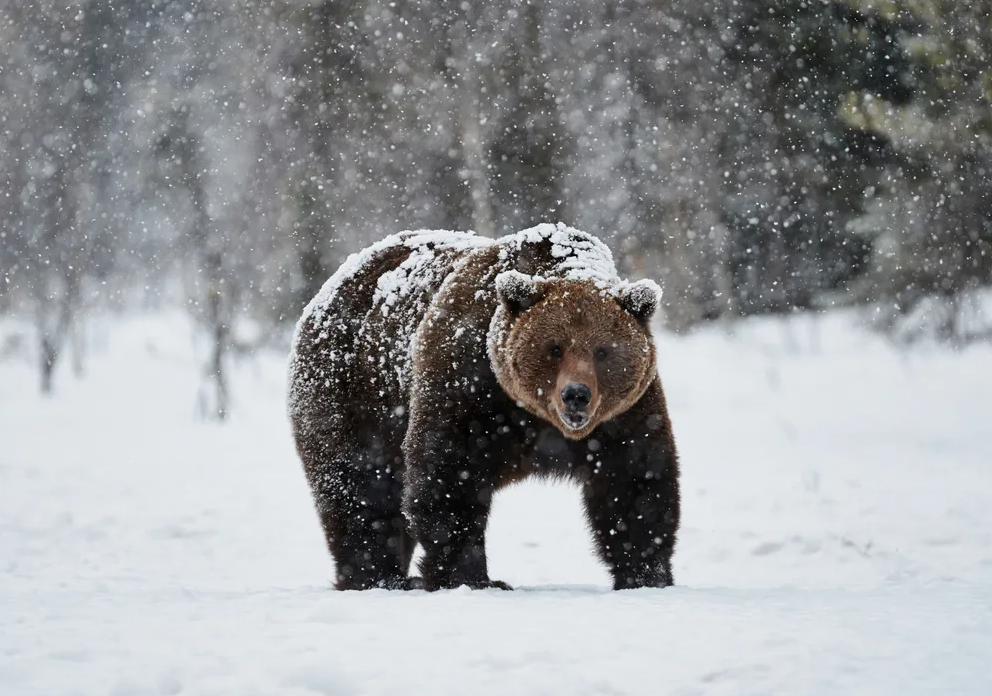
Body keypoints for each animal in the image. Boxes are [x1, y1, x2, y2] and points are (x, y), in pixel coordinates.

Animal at [282, 224, 680, 592]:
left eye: (602, 351)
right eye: (554, 348)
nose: (576, 394)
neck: (536, 417)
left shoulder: (624, 415)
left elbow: (635, 482)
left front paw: (647, 574)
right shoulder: (467, 384)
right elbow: (448, 476)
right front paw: (471, 578)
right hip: (352, 392)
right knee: (361, 488)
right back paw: (380, 577)